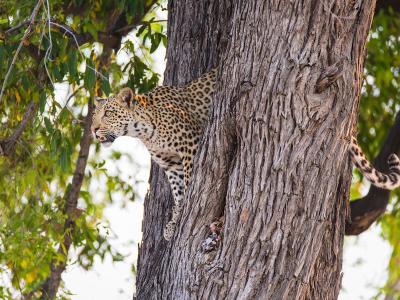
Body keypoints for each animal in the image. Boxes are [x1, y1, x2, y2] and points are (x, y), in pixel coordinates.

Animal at [90, 67, 400, 241]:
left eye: (108, 113)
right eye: (95, 115)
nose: (93, 130)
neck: (142, 129)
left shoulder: (191, 147)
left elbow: (188, 186)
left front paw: (180, 218)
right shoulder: (171, 164)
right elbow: (178, 193)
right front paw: (173, 222)